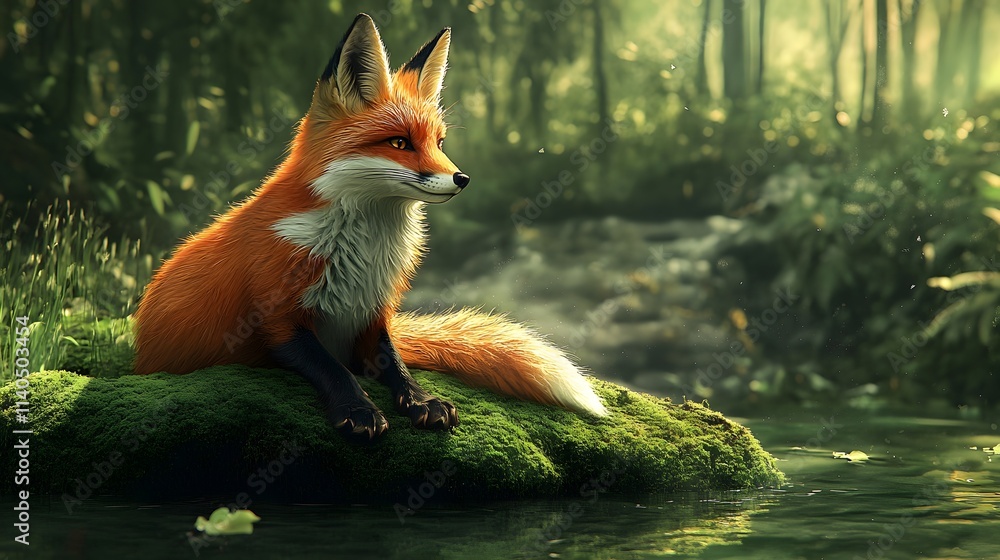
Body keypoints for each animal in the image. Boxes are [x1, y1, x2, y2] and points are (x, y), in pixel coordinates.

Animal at [133, 13, 607, 442]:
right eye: (399, 143)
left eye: (439, 143)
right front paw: (358, 410)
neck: (363, 251)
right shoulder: (276, 317)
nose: (462, 179)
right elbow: (333, 368)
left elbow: (395, 362)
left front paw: (421, 400)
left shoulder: (374, 312)